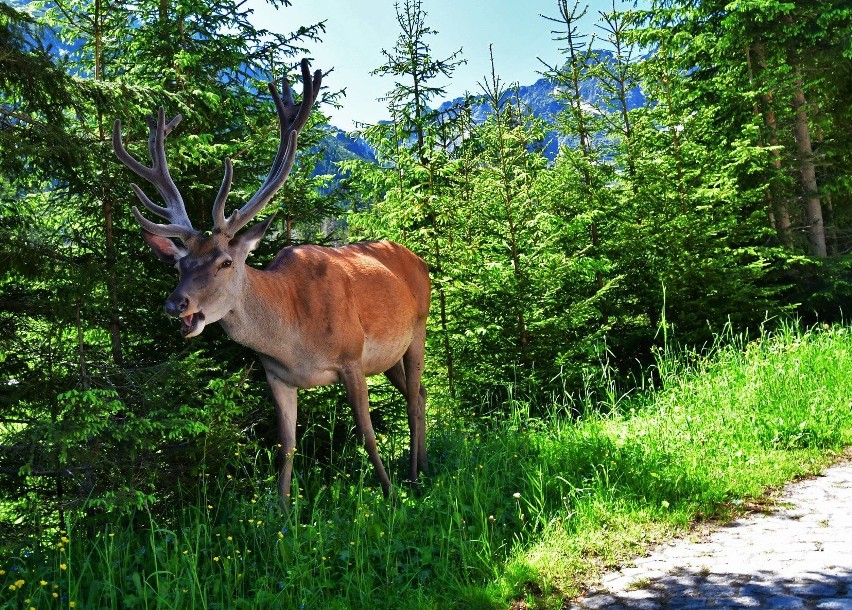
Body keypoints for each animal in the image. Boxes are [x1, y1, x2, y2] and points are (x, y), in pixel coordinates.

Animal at [113, 59, 430, 502]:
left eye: (225, 262)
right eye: (179, 265)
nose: (176, 303)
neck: (294, 336)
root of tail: (419, 261)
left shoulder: (351, 358)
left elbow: (367, 434)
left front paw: (389, 496)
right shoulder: (276, 376)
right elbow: (286, 448)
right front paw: (280, 511)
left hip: (417, 328)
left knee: (415, 399)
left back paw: (415, 478)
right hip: (388, 357)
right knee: (420, 393)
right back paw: (424, 466)